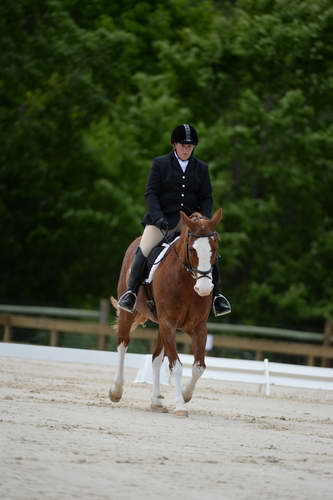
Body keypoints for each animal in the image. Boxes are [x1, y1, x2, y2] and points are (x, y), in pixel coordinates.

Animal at [110, 205, 222, 416]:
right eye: (192, 249)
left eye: (214, 249)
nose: (204, 289)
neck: (186, 282)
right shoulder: (168, 323)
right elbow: (176, 366)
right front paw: (180, 406)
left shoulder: (197, 327)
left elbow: (199, 366)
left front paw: (185, 395)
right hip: (129, 313)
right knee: (122, 345)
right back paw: (116, 391)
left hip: (161, 325)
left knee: (155, 359)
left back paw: (156, 402)